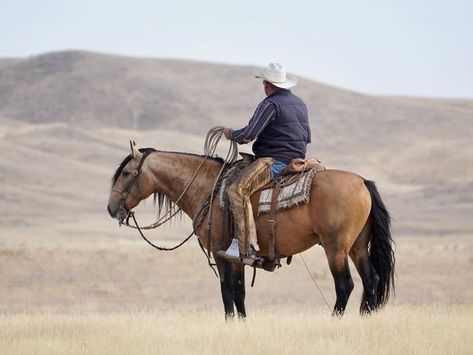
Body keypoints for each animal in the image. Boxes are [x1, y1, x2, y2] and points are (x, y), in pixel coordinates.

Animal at [107, 143, 394, 318]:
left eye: (126, 173)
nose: (111, 208)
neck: (209, 189)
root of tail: (362, 182)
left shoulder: (220, 253)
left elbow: (227, 292)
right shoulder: (239, 257)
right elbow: (240, 293)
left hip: (336, 248)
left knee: (345, 285)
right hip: (357, 247)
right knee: (371, 281)